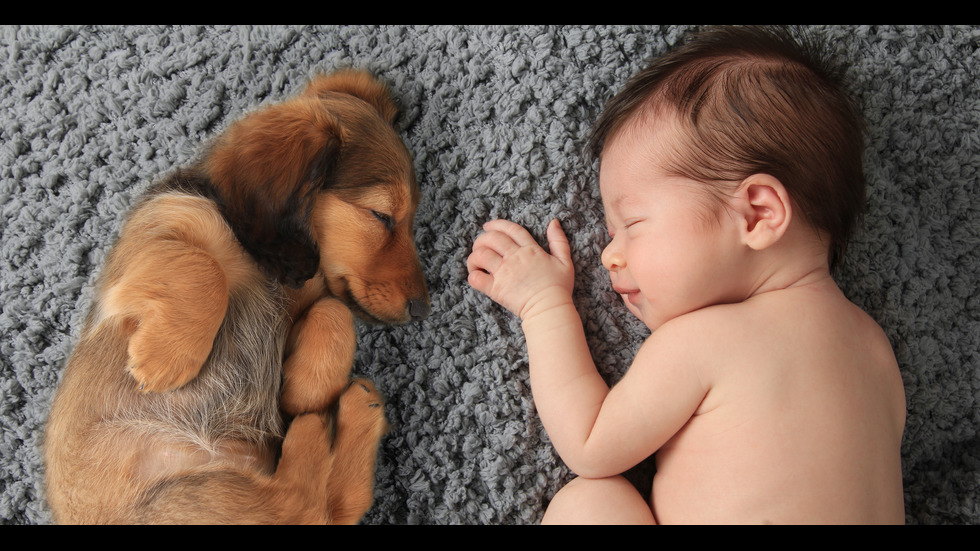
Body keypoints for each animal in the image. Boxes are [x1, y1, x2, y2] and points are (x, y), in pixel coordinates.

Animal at [44, 71, 428, 524]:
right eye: (381, 216)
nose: (422, 309)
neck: (262, 263)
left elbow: (334, 309)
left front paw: (304, 389)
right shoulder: (158, 232)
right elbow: (203, 266)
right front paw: (164, 358)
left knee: (322, 507)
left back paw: (349, 412)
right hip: (188, 498)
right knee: (302, 504)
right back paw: (320, 429)